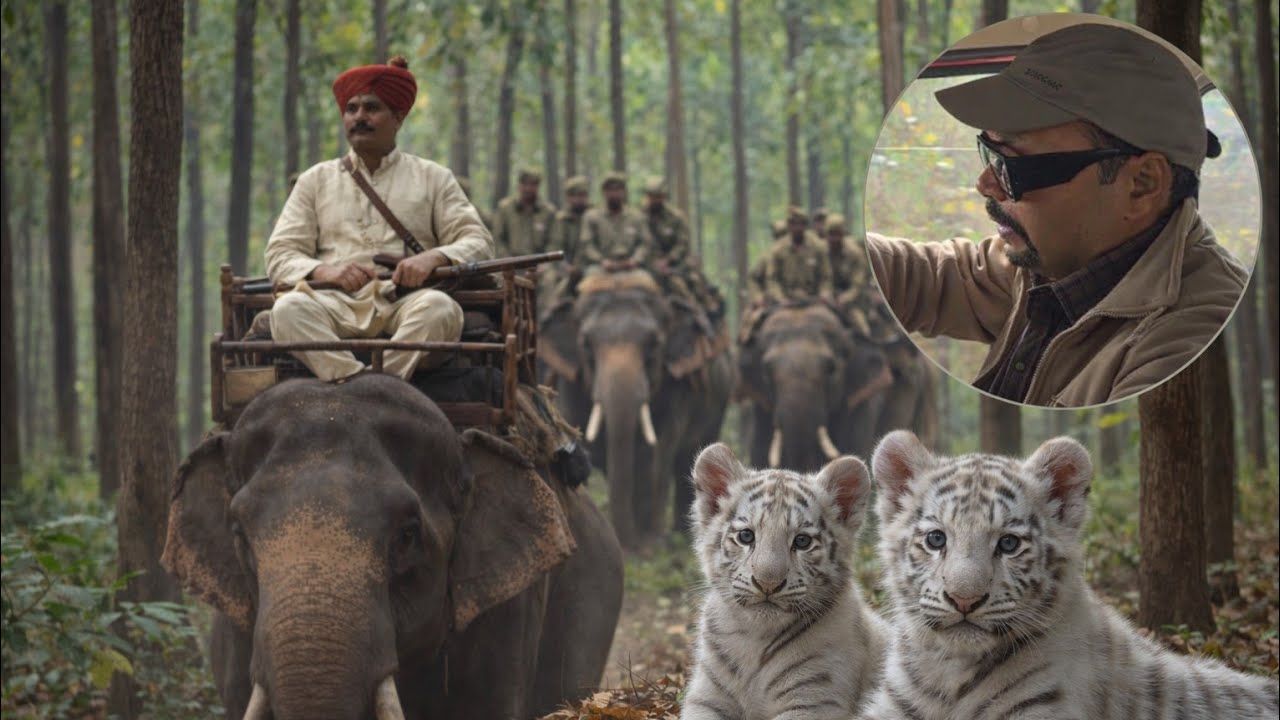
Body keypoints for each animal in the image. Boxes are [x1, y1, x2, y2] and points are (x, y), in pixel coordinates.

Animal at [681, 442, 886, 720]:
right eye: (746, 536)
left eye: (802, 541)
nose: (768, 582)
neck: (754, 640)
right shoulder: (706, 697)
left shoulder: (813, 701)